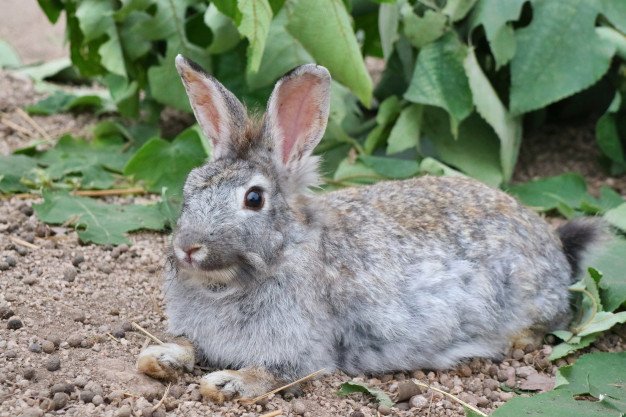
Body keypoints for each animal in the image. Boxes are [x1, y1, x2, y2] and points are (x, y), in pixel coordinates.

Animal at [135, 56, 600, 404]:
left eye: (253, 199)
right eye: (190, 186)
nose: (189, 248)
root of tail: (555, 246)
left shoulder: (304, 350)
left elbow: (275, 373)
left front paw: (224, 384)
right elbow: (190, 345)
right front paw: (158, 357)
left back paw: (519, 341)